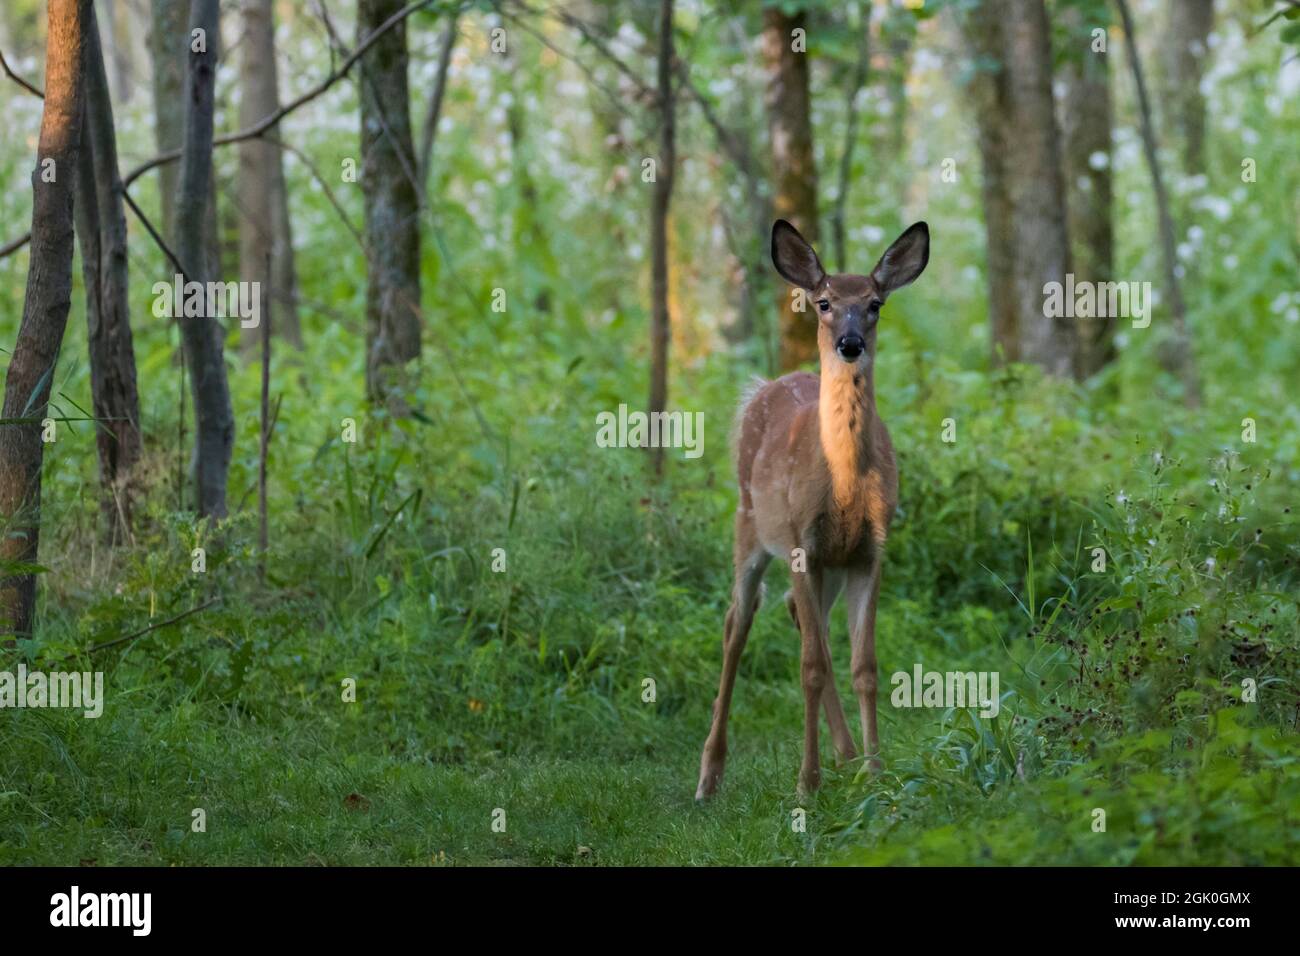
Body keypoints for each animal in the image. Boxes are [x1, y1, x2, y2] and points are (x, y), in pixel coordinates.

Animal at [696, 218, 929, 800]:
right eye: (824, 302)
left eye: (875, 303)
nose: (849, 343)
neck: (843, 486)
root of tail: (764, 386)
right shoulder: (802, 542)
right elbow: (810, 668)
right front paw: (807, 784)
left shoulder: (868, 550)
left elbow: (863, 665)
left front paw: (875, 772)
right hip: (749, 526)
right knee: (738, 622)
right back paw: (709, 775)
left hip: (826, 565)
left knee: (801, 616)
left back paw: (846, 755)